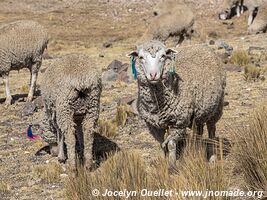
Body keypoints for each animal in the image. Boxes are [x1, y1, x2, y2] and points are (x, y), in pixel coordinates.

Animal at [129, 40, 226, 169]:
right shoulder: (153, 126)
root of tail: (202, 46)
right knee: (199, 131)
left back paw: (212, 158)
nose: (153, 75)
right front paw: (162, 162)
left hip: (216, 108)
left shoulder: (178, 122)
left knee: (211, 131)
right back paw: (197, 150)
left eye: (163, 56)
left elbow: (170, 145)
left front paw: (172, 166)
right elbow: (161, 144)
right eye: (141, 57)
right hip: (199, 113)